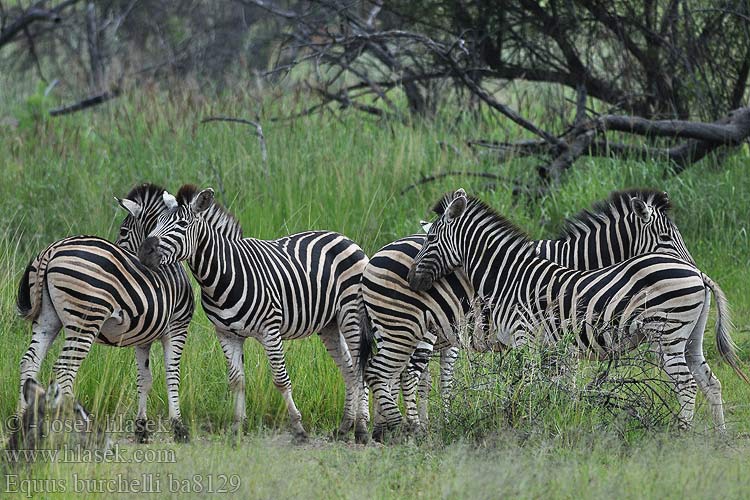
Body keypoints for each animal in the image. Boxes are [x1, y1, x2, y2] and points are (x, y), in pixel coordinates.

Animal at [16, 183, 197, 442]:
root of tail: (52, 249)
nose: (141, 257)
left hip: (47, 320)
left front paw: (141, 429)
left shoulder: (144, 337)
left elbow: (145, 379)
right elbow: (172, 375)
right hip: (85, 320)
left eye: (123, 231)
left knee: (30, 362)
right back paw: (75, 427)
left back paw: (22, 422)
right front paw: (179, 427)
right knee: (64, 370)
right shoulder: (177, 327)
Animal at [139, 186, 374, 444]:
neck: (222, 275)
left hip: (351, 315)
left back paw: (362, 429)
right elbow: (237, 381)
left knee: (359, 369)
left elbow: (281, 380)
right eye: (157, 223)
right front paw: (237, 428)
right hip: (330, 324)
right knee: (349, 370)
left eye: (181, 224)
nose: (144, 251)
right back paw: (344, 427)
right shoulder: (227, 334)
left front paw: (298, 428)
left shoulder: (270, 331)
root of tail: (344, 238)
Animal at [364, 188, 712, 438]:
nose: (698, 273)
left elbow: (558, 382)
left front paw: (565, 416)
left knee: (401, 375)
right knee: (404, 374)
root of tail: (378, 253)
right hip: (416, 328)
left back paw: (392, 426)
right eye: (666, 238)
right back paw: (406, 428)